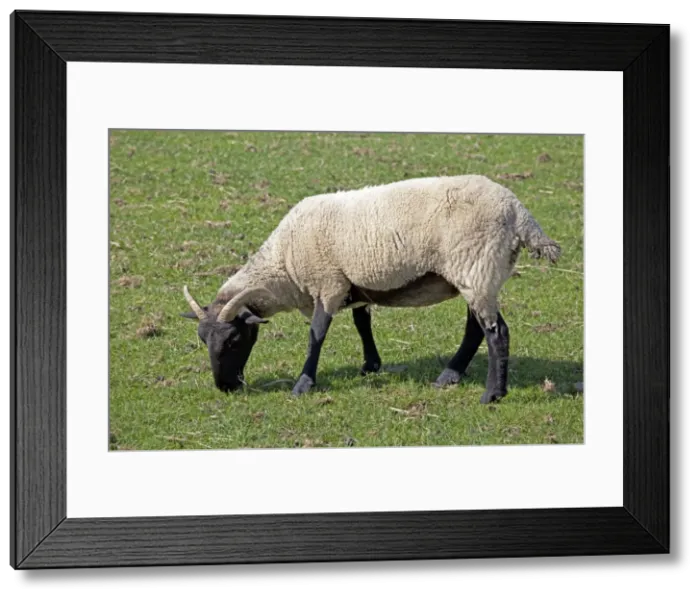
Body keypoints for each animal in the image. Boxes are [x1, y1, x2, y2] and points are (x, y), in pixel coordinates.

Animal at [181, 174, 561, 403]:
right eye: (202, 339)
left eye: (234, 340)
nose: (225, 387)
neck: (283, 264)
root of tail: (519, 213)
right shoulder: (352, 284)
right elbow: (362, 323)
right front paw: (371, 365)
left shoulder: (329, 283)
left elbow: (316, 335)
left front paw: (303, 384)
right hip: (478, 272)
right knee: (476, 329)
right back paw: (449, 376)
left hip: (476, 267)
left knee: (497, 333)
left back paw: (492, 394)